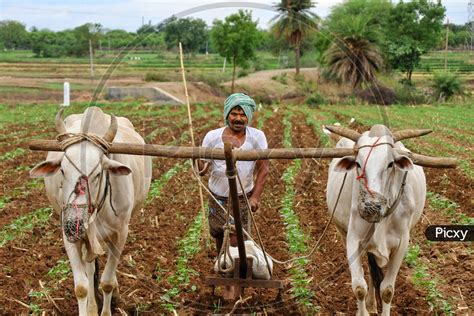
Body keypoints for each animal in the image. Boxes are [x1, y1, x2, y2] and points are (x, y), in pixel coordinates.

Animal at [29, 107, 151, 316]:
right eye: (63, 170)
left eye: (98, 173)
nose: (74, 223)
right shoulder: (69, 236)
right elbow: (82, 286)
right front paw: (89, 308)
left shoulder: (121, 234)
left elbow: (107, 282)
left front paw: (108, 306)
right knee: (91, 268)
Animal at [326, 124, 430, 314]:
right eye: (358, 163)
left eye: (390, 164)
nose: (371, 207)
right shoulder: (353, 239)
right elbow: (359, 287)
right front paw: (363, 311)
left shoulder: (402, 244)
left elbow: (387, 290)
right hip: (343, 232)